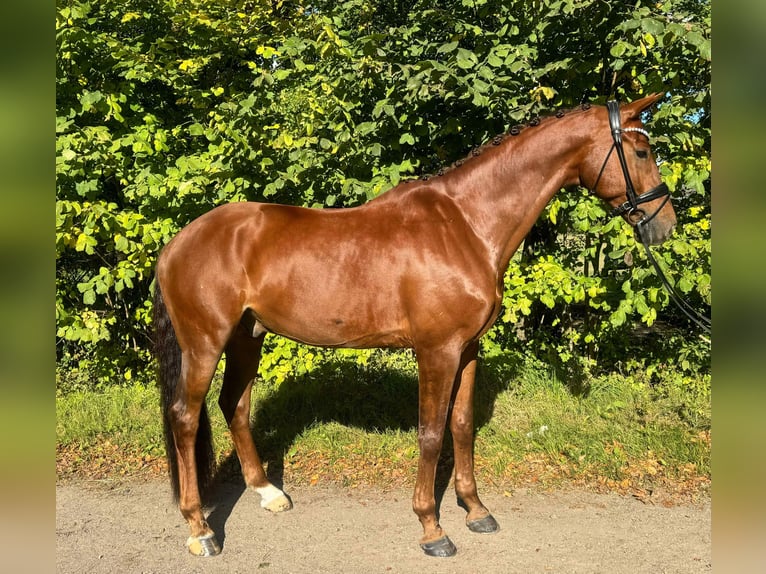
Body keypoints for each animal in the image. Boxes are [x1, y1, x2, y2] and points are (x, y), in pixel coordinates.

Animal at [153, 94, 676, 560]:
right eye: (641, 152)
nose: (664, 224)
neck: (466, 224)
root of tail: (177, 242)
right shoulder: (436, 350)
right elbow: (430, 432)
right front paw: (432, 529)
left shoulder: (467, 350)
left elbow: (461, 426)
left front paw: (476, 510)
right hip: (205, 343)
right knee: (185, 416)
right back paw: (201, 530)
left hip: (248, 337)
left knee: (234, 405)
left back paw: (267, 492)